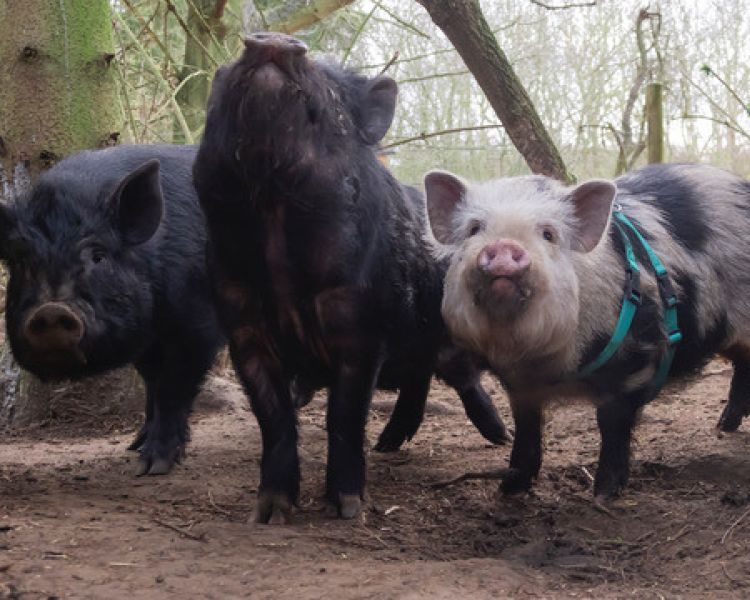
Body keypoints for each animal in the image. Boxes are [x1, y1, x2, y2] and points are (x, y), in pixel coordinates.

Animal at [0, 144, 224, 475]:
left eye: (98, 256)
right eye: (22, 261)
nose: (51, 311)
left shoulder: (196, 326)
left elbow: (171, 389)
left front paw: (151, 467)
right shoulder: (147, 341)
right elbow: (153, 384)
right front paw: (135, 447)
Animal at [193, 32, 508, 522]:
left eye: (330, 85)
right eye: (223, 74)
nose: (272, 40)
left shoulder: (361, 324)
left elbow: (344, 415)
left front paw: (348, 509)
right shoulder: (241, 323)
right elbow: (273, 418)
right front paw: (267, 515)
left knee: (460, 375)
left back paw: (499, 438)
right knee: (418, 379)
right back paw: (388, 445)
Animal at [425, 163, 750, 498]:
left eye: (549, 234)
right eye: (474, 229)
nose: (503, 247)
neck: (543, 364)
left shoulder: (635, 362)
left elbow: (611, 424)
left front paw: (604, 493)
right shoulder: (519, 386)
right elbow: (527, 428)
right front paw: (509, 488)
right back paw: (724, 426)